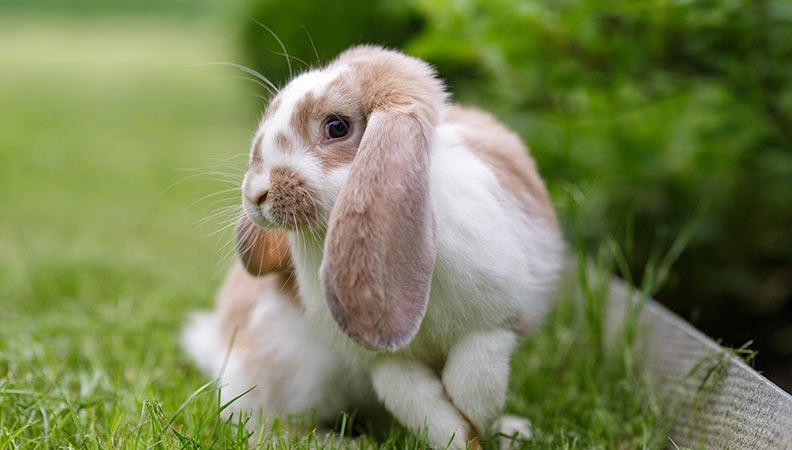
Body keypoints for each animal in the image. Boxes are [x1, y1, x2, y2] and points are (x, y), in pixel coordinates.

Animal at [184, 45, 563, 449]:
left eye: (337, 126)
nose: (256, 195)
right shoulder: (385, 360)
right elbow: (419, 403)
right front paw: (461, 439)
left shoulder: (494, 323)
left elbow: (475, 381)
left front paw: (479, 428)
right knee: (266, 424)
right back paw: (344, 442)